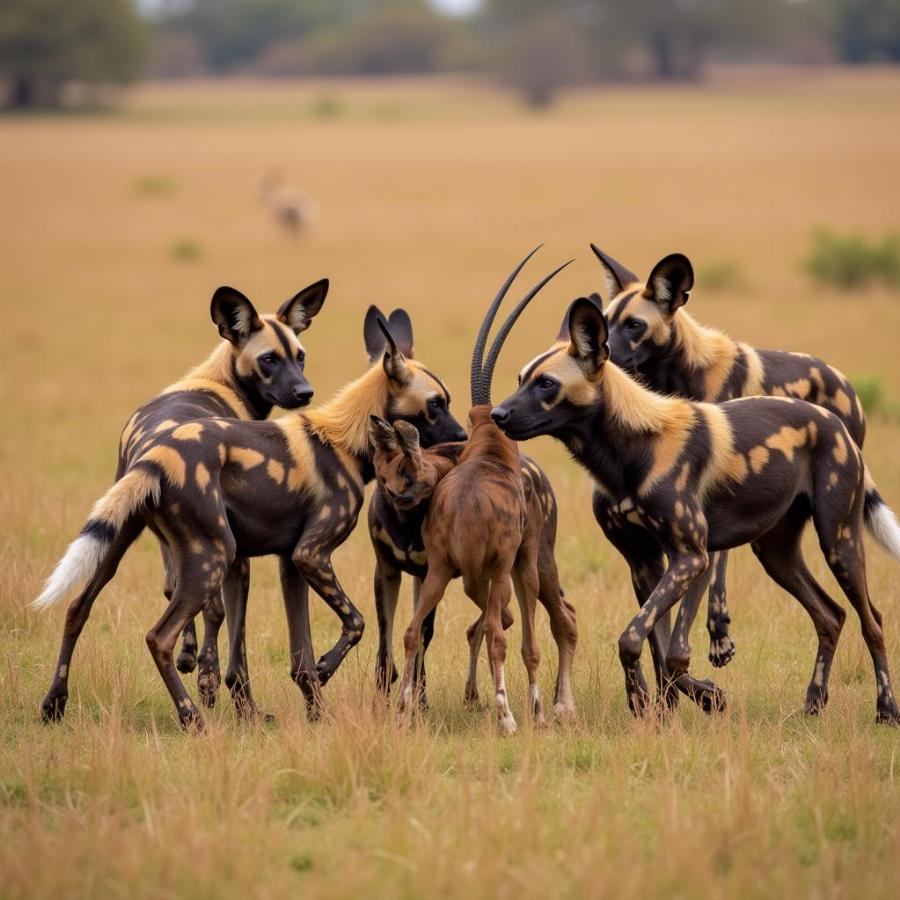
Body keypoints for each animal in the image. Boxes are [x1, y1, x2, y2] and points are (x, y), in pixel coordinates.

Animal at [32, 312, 468, 732]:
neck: (344, 442)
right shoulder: (312, 555)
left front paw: (318, 715)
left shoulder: (292, 564)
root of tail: (157, 457)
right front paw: (328, 671)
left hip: (115, 546)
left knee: (76, 609)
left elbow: (301, 660)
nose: (464, 436)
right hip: (213, 557)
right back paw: (192, 719)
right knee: (160, 638)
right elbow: (355, 624)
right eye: (435, 404)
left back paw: (54, 704)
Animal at [396, 246, 576, 732]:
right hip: (504, 571)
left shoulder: (460, 569)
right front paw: (528, 711)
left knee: (422, 631)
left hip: (453, 573)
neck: (489, 455)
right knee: (511, 627)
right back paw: (521, 712)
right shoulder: (514, 562)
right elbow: (521, 641)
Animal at [496, 292, 900, 728]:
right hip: (777, 555)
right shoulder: (652, 564)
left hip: (839, 543)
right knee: (831, 616)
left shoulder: (691, 557)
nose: (498, 414)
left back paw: (886, 710)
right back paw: (812, 703)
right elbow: (661, 650)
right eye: (520, 380)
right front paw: (673, 705)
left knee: (872, 622)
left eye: (547, 383)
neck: (633, 450)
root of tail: (836, 424)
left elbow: (642, 643)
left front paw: (667, 699)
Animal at [592, 246, 872, 668]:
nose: (604, 355)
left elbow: (715, 569)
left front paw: (718, 634)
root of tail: (847, 386)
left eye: (635, 326)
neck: (679, 374)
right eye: (607, 322)